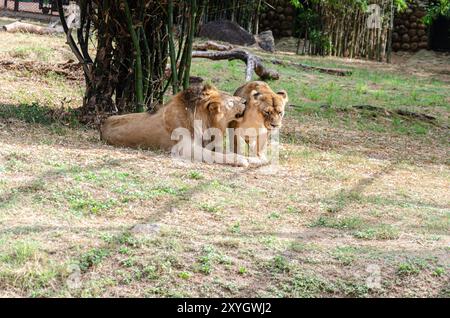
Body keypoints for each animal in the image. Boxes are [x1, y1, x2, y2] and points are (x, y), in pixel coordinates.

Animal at [99, 83, 253, 168]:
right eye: (231, 102)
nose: (245, 101)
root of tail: (103, 124)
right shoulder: (185, 149)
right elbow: (215, 155)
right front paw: (240, 160)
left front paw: (250, 158)